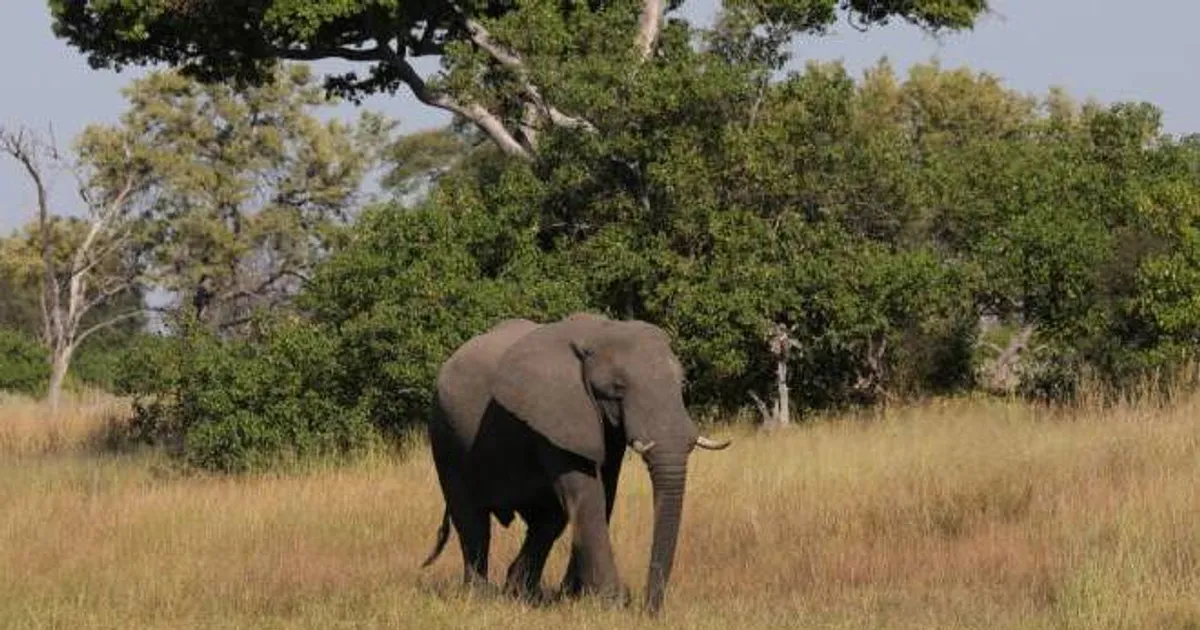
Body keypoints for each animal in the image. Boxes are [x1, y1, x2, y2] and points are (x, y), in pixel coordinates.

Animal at [420, 312, 729, 614]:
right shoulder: (557, 410)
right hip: (445, 433)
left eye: (681, 383)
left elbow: (604, 492)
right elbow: (587, 492)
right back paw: (481, 596)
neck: (600, 331)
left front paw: (576, 597)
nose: (649, 610)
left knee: (548, 519)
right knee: (471, 518)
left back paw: (522, 593)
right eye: (618, 388)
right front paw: (611, 604)